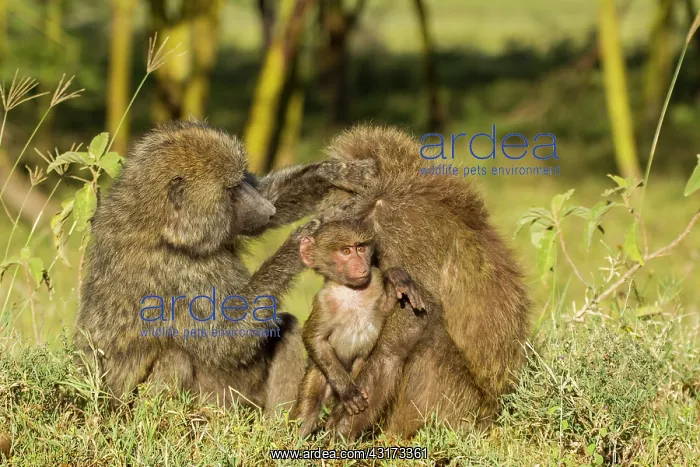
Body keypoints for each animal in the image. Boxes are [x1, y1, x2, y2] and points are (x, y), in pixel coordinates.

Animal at [73, 119, 376, 414]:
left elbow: (270, 196)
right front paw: (302, 241)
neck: (158, 226)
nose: (267, 210)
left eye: (243, 181)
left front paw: (339, 172)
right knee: (178, 356)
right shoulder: (174, 274)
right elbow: (224, 342)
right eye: (232, 190)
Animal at [288, 220, 427, 437]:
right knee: (309, 405)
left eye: (360, 248)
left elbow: (386, 306)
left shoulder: (375, 283)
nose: (361, 268)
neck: (352, 292)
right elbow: (313, 337)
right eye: (345, 251)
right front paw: (349, 392)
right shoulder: (323, 302)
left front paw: (397, 278)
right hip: (321, 374)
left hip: (357, 368)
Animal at [312, 125, 532, 439]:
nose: (315, 226)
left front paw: (337, 430)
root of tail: (491, 415)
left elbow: (409, 322)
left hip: (453, 405)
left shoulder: (399, 225)